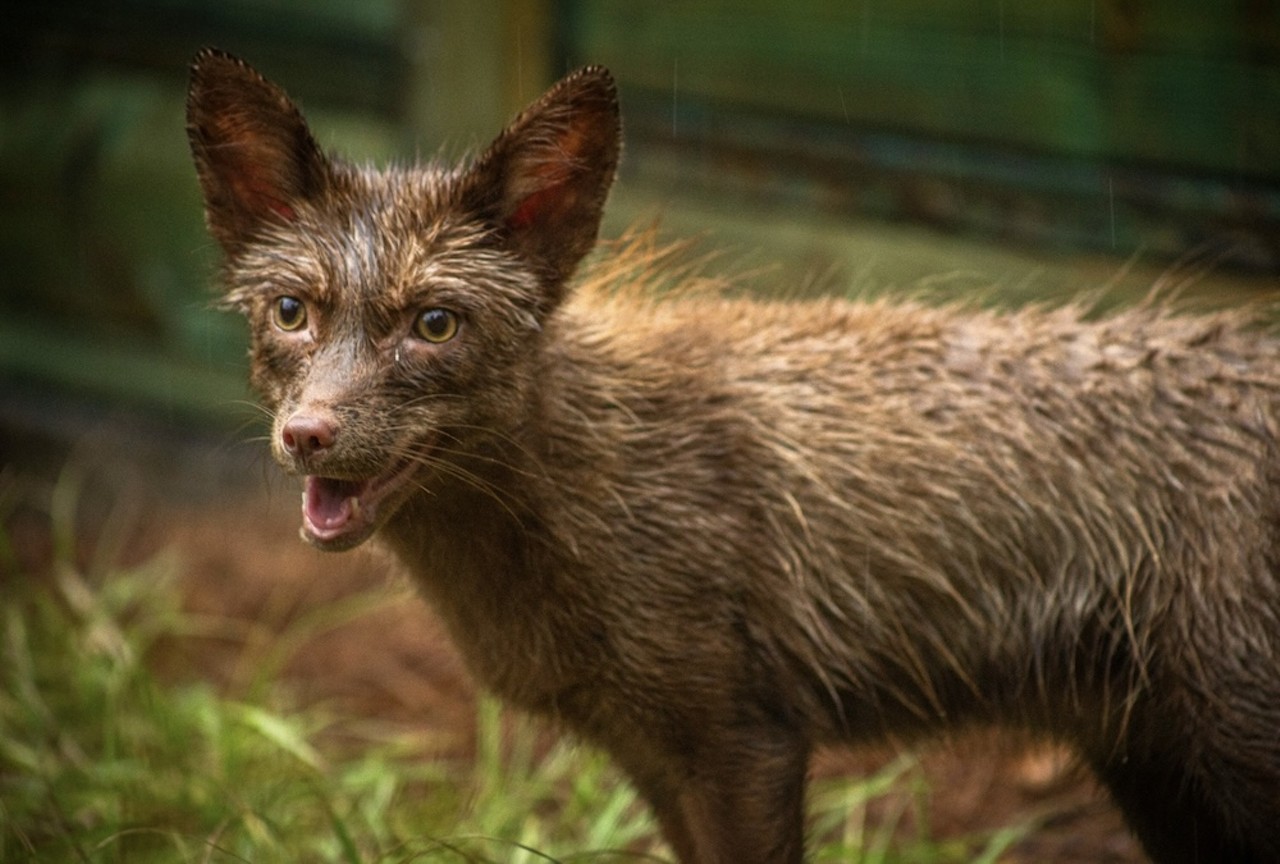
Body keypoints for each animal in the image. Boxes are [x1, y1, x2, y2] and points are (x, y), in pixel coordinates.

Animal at [186, 50, 1280, 860]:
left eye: (435, 325)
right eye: (292, 311)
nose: (308, 436)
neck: (596, 487)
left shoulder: (743, 743)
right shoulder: (654, 755)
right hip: (1163, 778)